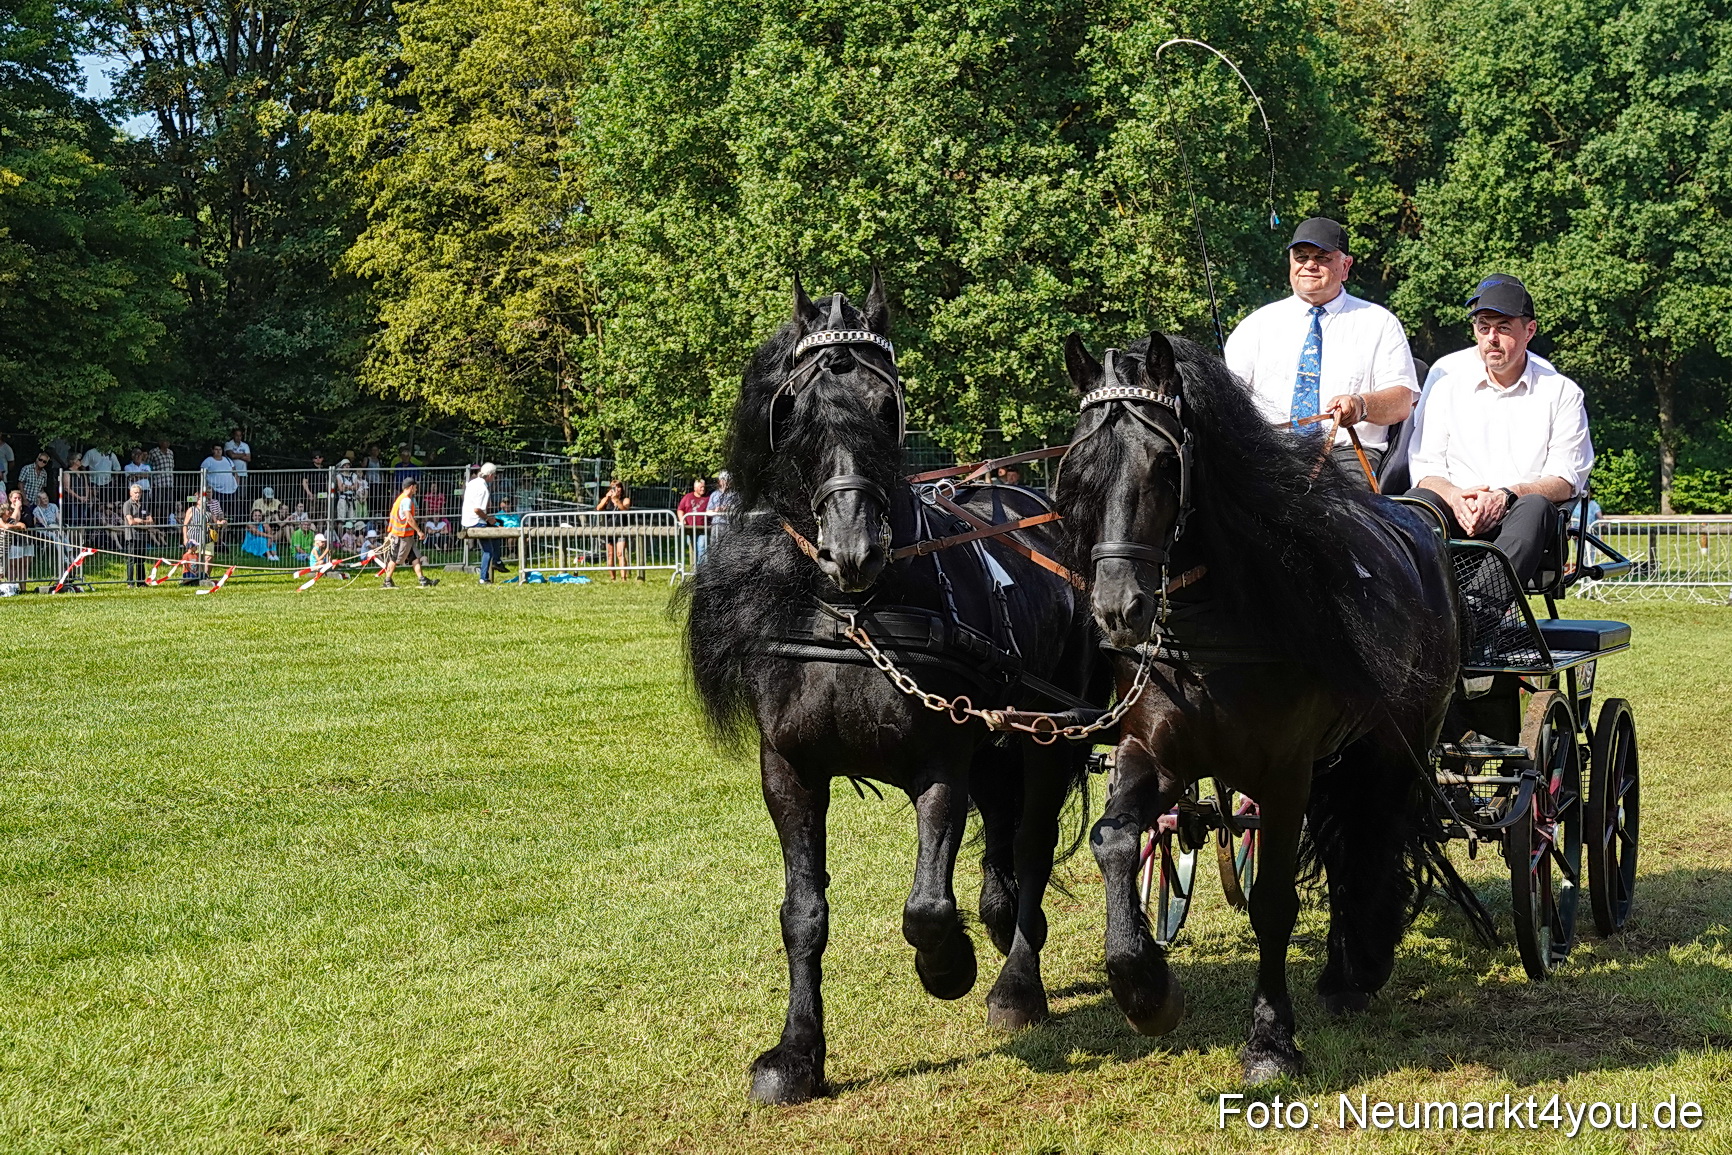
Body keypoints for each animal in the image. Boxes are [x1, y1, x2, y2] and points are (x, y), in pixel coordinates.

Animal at [686, 274, 1101, 1105]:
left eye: (888, 405)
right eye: (793, 409)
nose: (853, 549)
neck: (854, 617)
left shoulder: (941, 760)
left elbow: (927, 904)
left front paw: (949, 965)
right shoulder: (789, 770)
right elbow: (803, 913)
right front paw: (796, 1054)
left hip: (1045, 737)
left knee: (1032, 846)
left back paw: (1016, 982)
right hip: (1001, 744)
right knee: (1004, 843)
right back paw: (1001, 922)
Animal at [1052, 331, 1459, 1082]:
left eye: (1166, 464)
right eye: (1080, 470)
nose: (1119, 610)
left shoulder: (1286, 772)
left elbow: (1273, 900)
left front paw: (1271, 1038)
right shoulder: (1153, 753)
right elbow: (1115, 839)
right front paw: (1144, 987)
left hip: (1396, 745)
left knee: (1375, 836)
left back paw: (1359, 966)